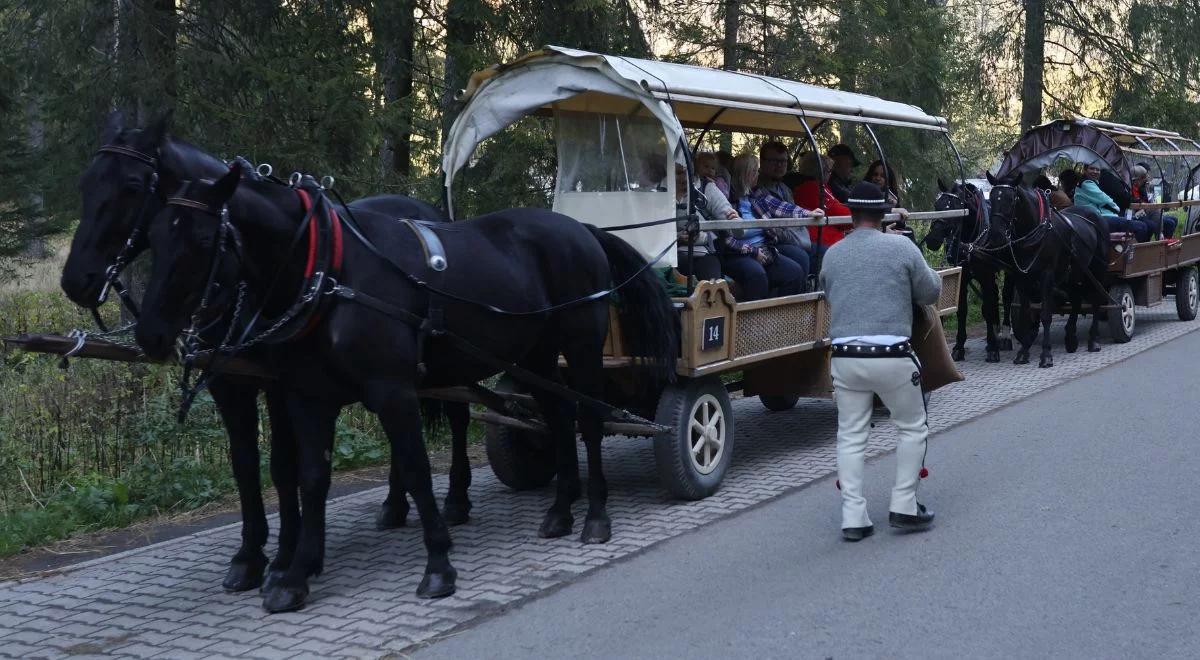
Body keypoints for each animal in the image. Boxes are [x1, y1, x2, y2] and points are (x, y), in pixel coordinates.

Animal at [62, 114, 468, 595]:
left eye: (131, 185)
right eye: (85, 183)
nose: (76, 280)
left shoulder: (280, 386)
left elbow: (282, 465)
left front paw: (287, 557)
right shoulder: (229, 385)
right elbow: (245, 464)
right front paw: (252, 555)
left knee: (458, 416)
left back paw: (456, 501)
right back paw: (393, 504)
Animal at [132, 163, 681, 614]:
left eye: (204, 240)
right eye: (153, 235)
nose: (151, 334)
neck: (330, 272)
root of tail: (580, 229)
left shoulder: (392, 390)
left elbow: (416, 470)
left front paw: (438, 564)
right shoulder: (307, 396)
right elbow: (311, 477)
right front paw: (293, 574)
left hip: (583, 346)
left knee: (589, 419)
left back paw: (595, 516)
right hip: (536, 355)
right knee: (559, 415)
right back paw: (561, 511)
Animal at [926, 180, 1012, 362]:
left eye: (956, 207)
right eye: (937, 205)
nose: (933, 239)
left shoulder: (986, 276)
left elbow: (987, 307)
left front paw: (993, 348)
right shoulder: (962, 276)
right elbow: (962, 310)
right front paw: (959, 347)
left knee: (1006, 297)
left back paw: (1006, 336)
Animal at [984, 175, 1104, 367]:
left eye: (1011, 200)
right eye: (993, 198)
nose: (996, 236)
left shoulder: (1047, 276)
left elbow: (1046, 314)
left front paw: (1046, 354)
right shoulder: (1022, 278)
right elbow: (1027, 313)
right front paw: (1023, 351)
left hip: (1095, 272)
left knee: (1096, 301)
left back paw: (1093, 340)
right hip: (1073, 274)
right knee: (1076, 300)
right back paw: (1071, 338)